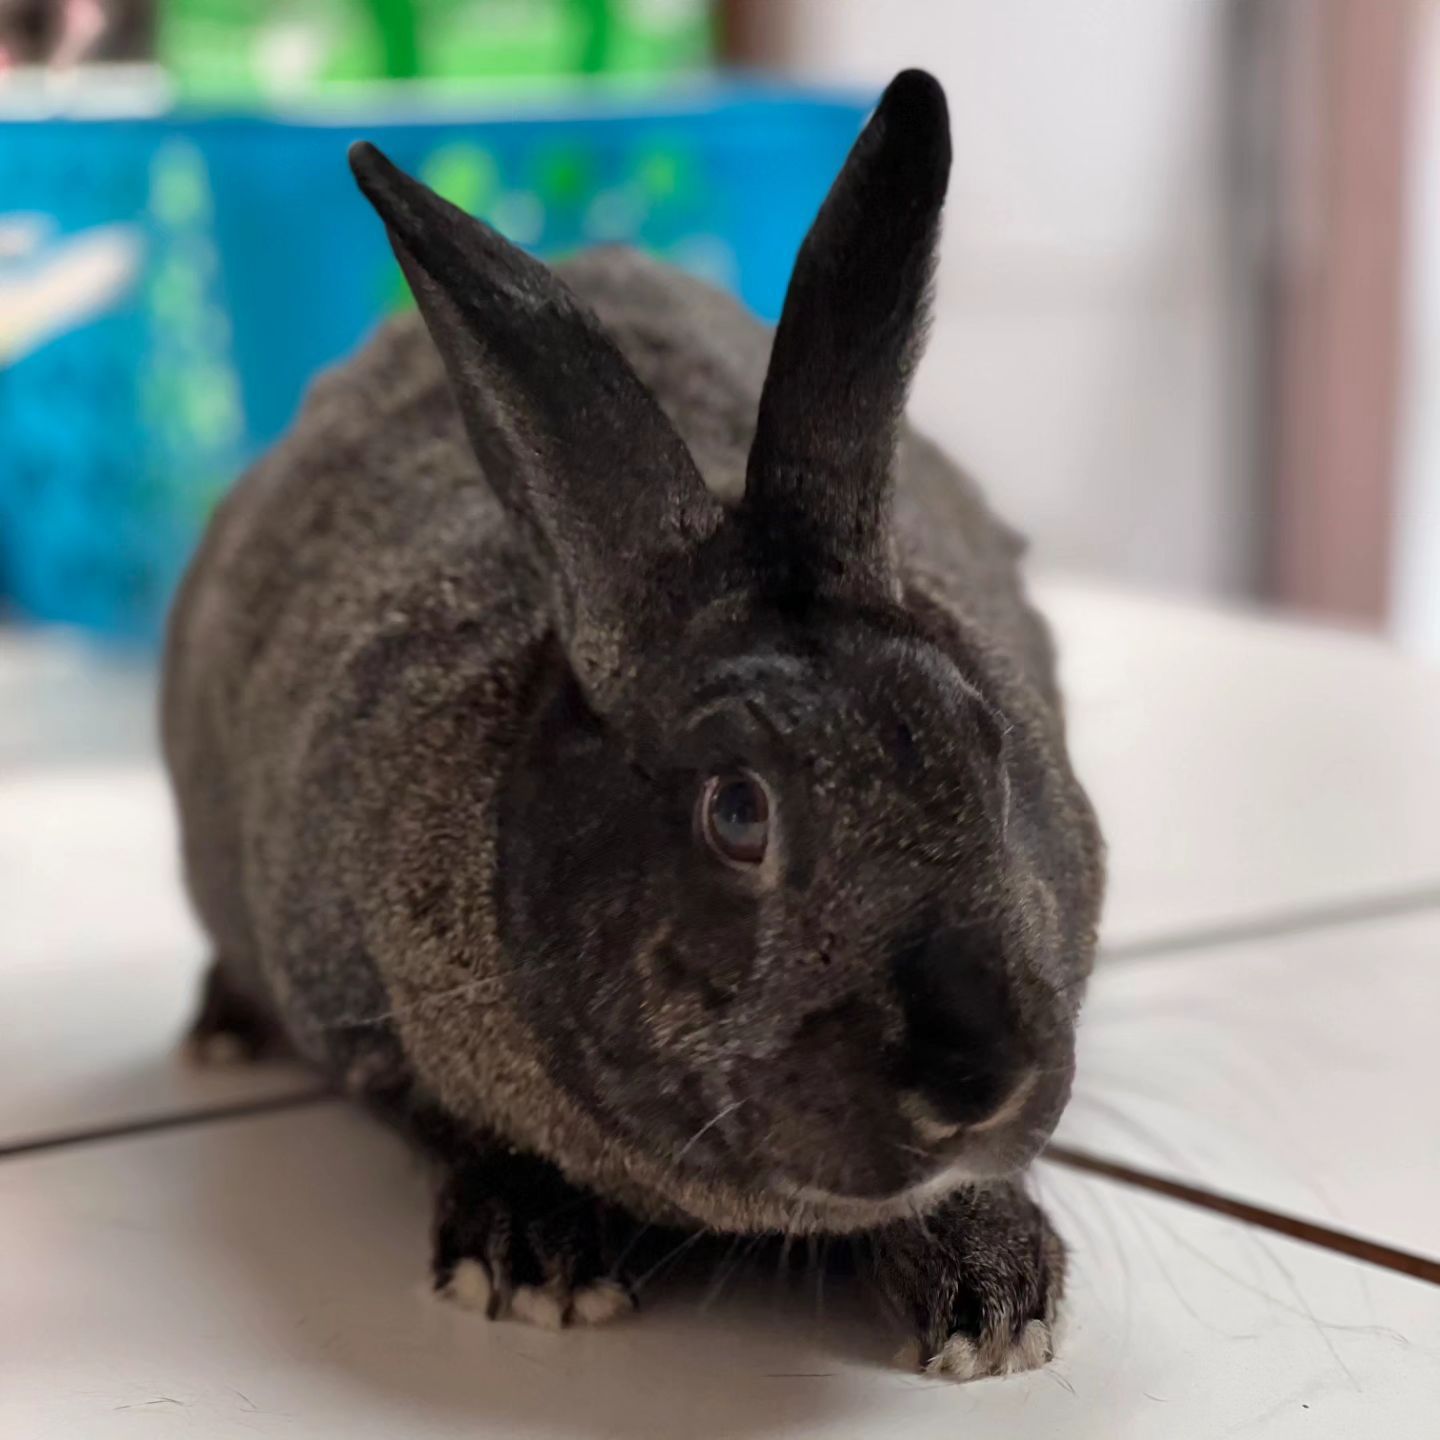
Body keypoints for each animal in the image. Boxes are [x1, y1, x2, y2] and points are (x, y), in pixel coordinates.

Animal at [162, 69, 1104, 1378]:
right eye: (738, 812)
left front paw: (996, 1301)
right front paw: (531, 1260)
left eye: (988, 745)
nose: (977, 1084)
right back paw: (216, 1034)